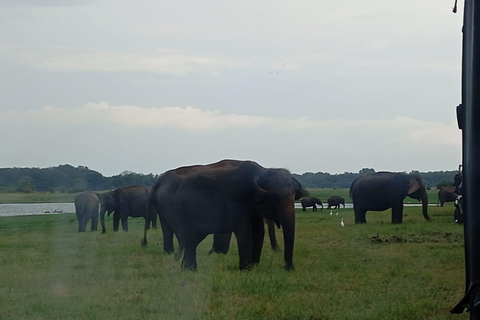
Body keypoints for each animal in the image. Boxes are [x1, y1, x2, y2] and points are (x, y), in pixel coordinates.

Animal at [172, 159, 308, 272]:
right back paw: (191, 270)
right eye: (274, 198)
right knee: (191, 238)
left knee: (193, 240)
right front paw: (246, 269)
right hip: (184, 209)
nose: (287, 268)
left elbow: (258, 230)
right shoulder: (236, 198)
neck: (262, 171)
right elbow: (243, 229)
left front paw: (254, 266)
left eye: (294, 197)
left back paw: (185, 268)